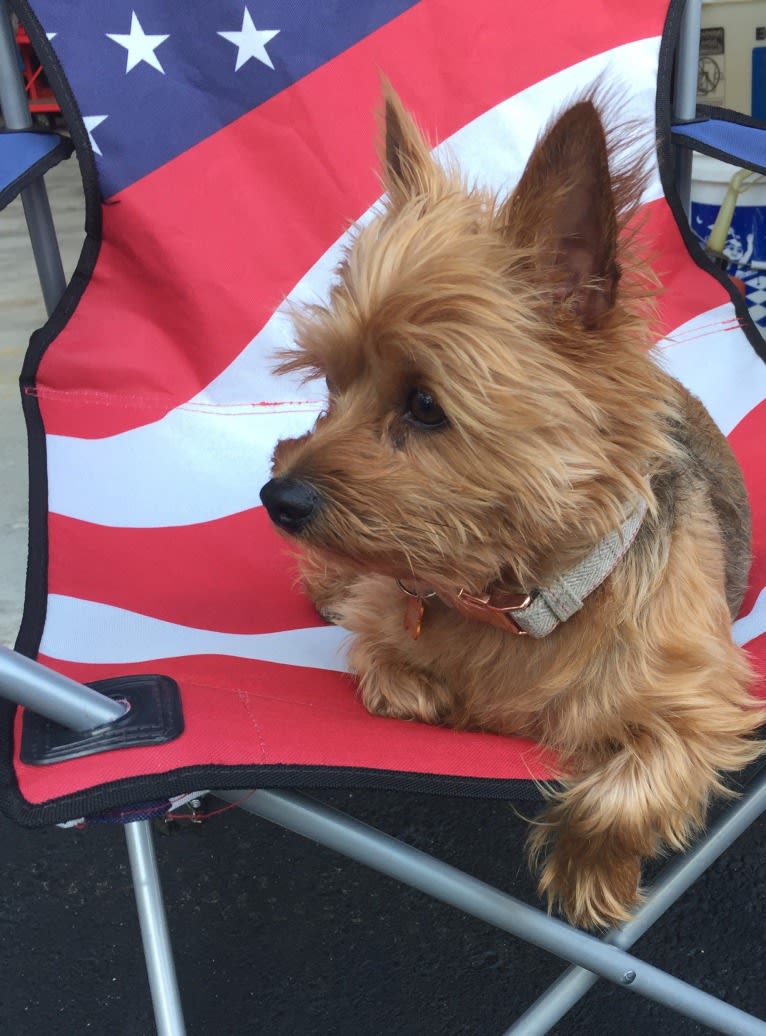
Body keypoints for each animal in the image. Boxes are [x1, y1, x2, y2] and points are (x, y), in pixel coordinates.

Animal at [258, 84, 762, 928]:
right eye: (332, 383)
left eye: (426, 405)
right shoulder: (384, 613)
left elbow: (628, 783)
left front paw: (592, 873)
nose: (276, 496)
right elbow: (385, 665)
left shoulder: (706, 698)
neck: (518, 596)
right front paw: (430, 691)